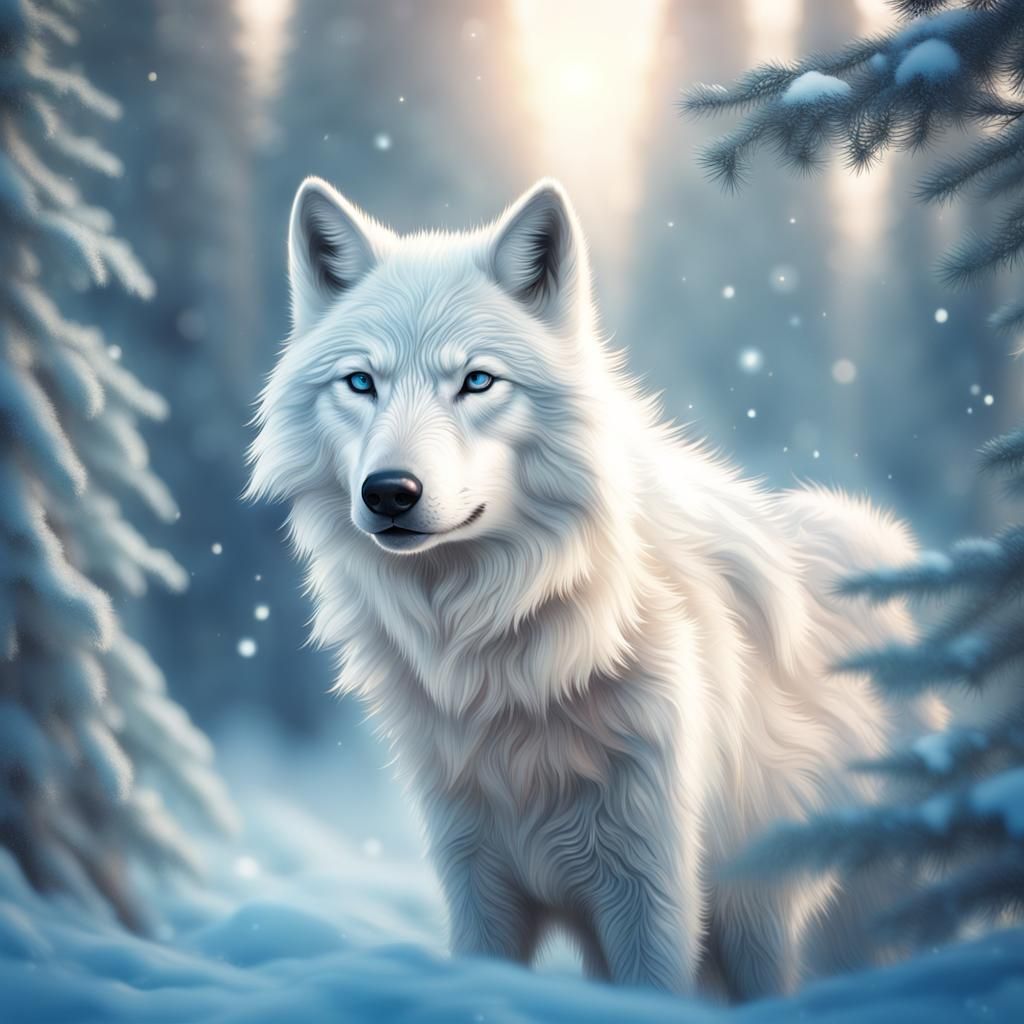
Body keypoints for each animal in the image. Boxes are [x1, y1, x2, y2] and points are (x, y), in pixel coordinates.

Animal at [248, 177, 943, 1000]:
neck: (506, 660)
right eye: (361, 382)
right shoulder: (478, 880)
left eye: (477, 381)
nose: (389, 491)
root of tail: (880, 543)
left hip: (790, 923)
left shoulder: (652, 891)